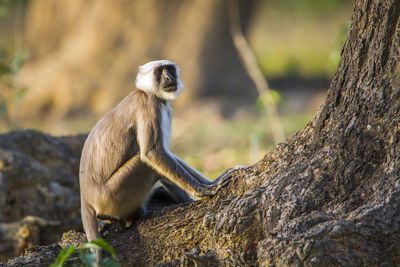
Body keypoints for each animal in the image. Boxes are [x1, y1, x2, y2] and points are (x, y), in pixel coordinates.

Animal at [79, 59, 239, 262]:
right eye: (159, 71)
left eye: (169, 69)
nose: (169, 78)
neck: (144, 92)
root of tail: (86, 197)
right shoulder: (149, 106)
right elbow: (153, 153)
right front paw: (205, 190)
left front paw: (214, 181)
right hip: (113, 195)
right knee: (147, 165)